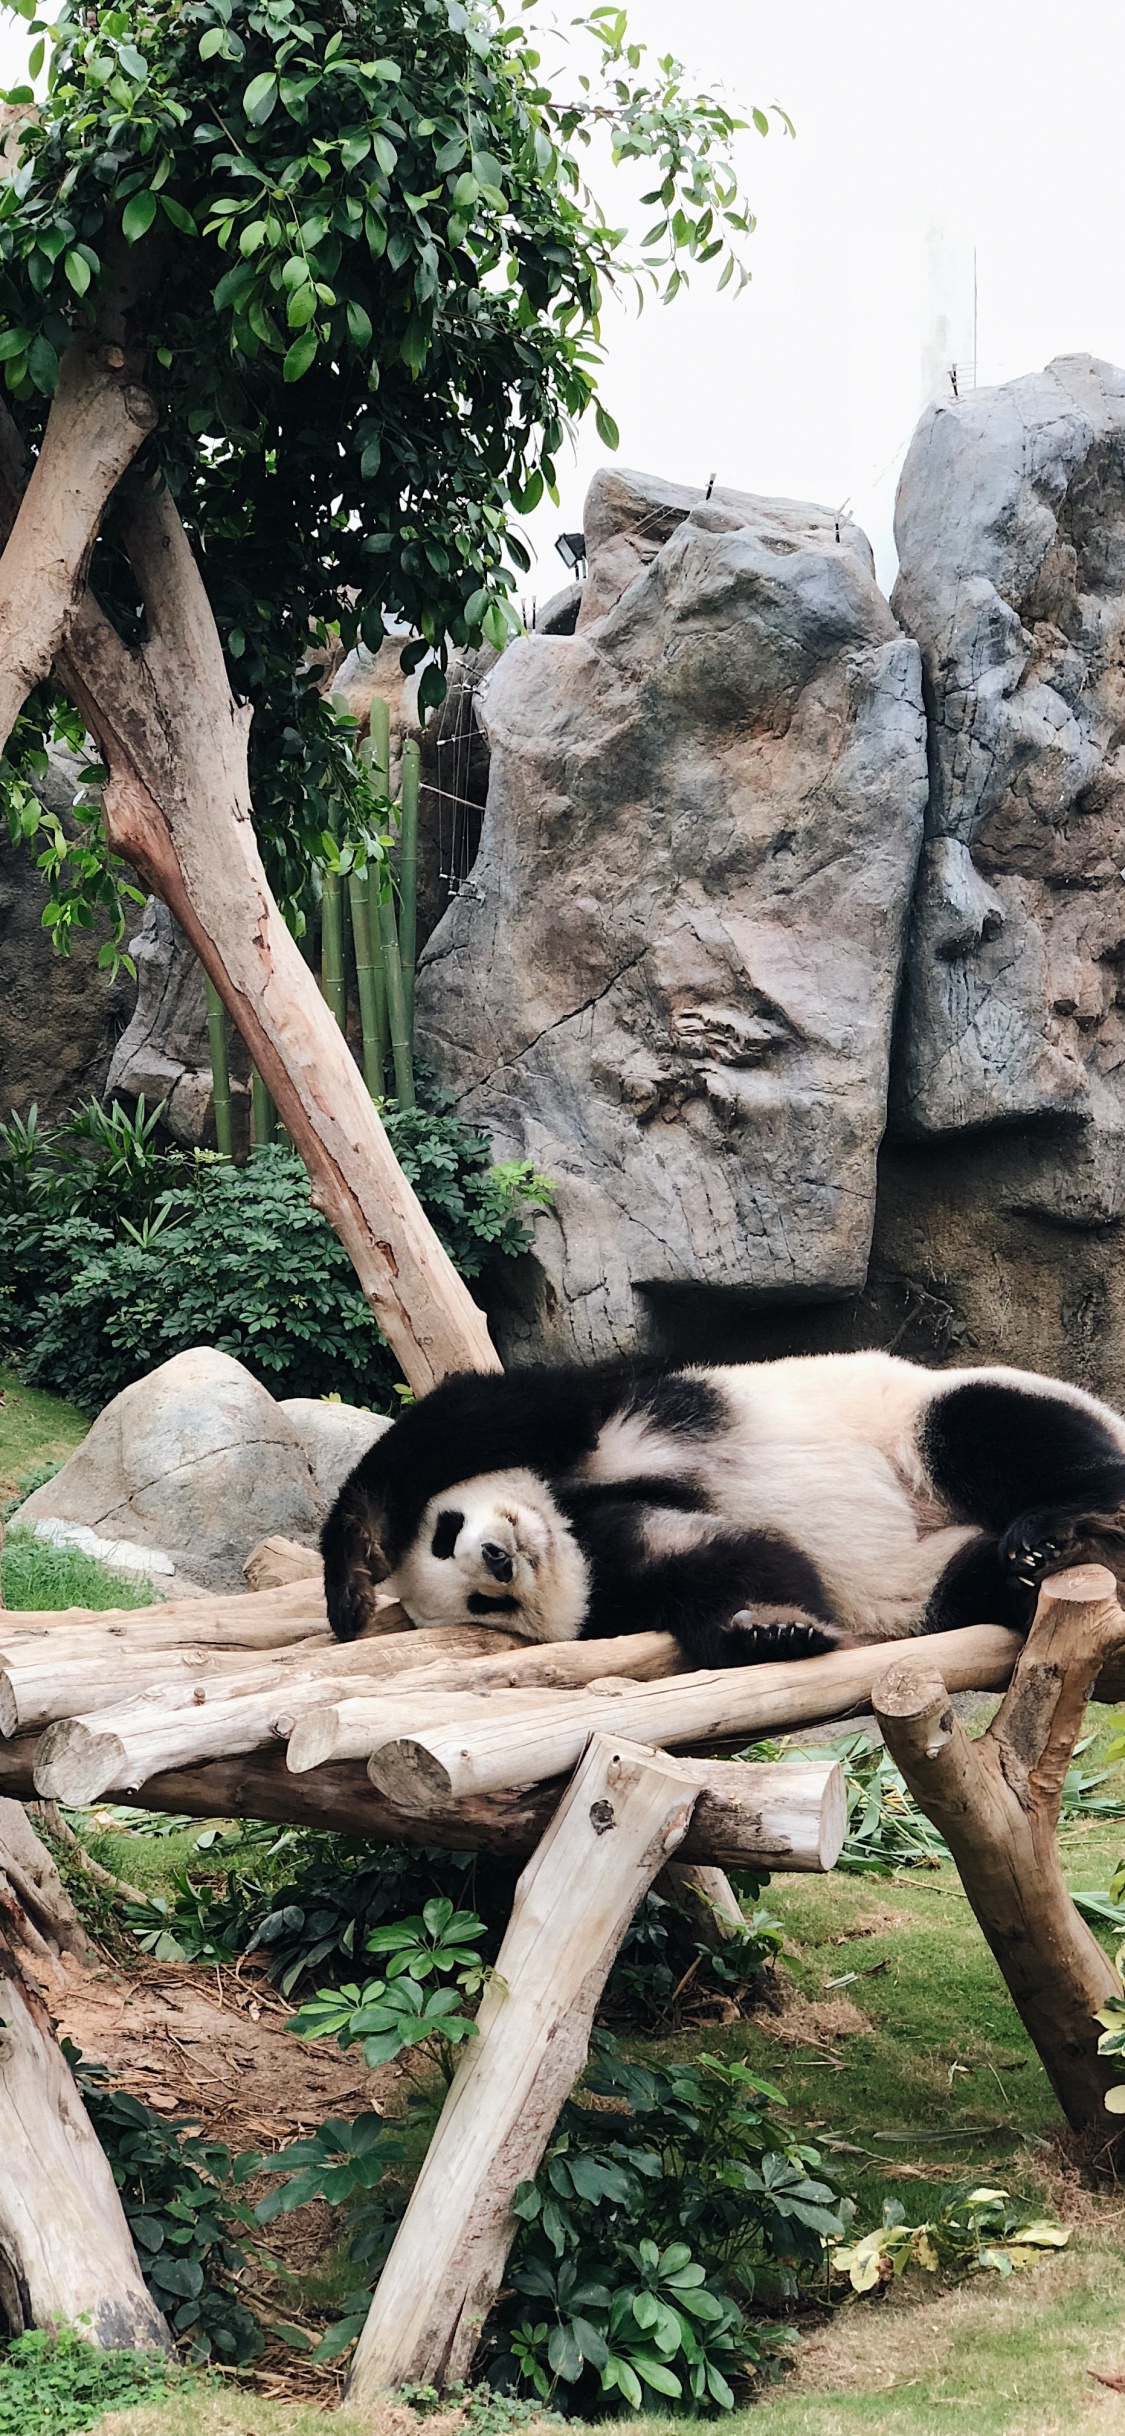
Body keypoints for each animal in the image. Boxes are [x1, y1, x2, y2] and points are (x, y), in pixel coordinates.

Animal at [320, 1351, 1125, 1665]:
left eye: (445, 1531)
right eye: (483, 1606)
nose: (496, 1557)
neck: (568, 1516)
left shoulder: (608, 1423)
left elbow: (481, 1418)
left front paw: (353, 1574)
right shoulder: (615, 1571)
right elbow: (729, 1560)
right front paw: (772, 1631)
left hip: (917, 1416)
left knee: (990, 1429)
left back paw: (1063, 1523)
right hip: (928, 1576)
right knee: (972, 1581)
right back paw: (1055, 1560)